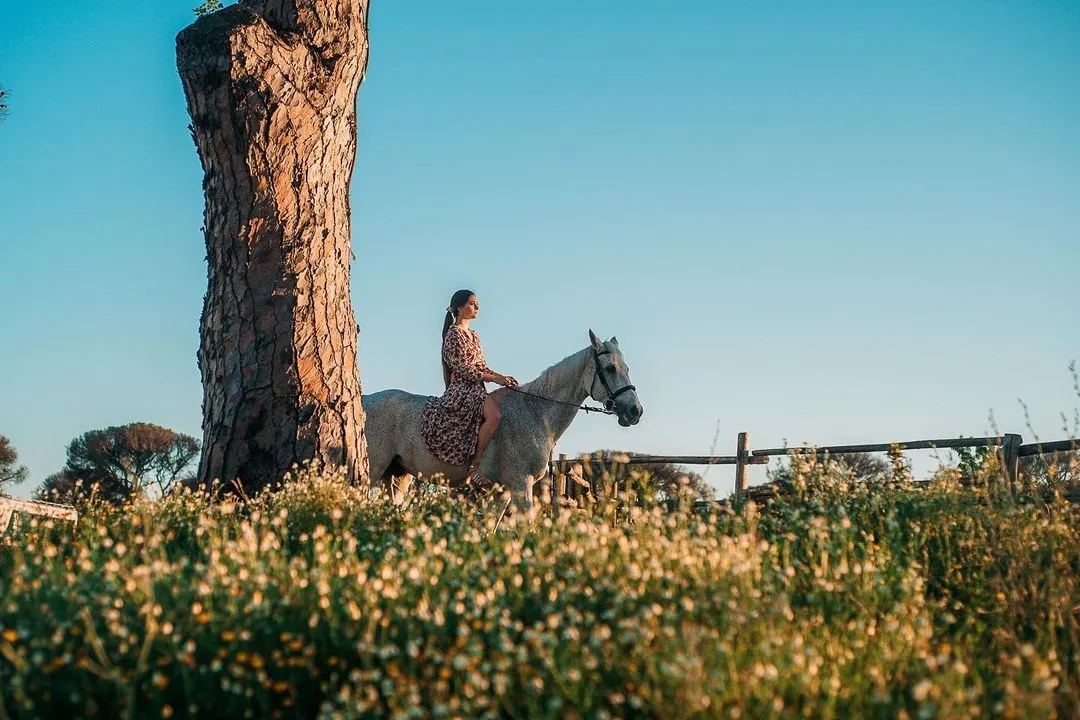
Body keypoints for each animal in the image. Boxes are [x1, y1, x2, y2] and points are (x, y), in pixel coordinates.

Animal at [362, 330, 644, 509]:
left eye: (627, 368)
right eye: (610, 368)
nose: (635, 411)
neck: (536, 411)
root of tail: (364, 399)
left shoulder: (503, 491)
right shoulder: (521, 484)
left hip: (397, 478)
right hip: (373, 471)